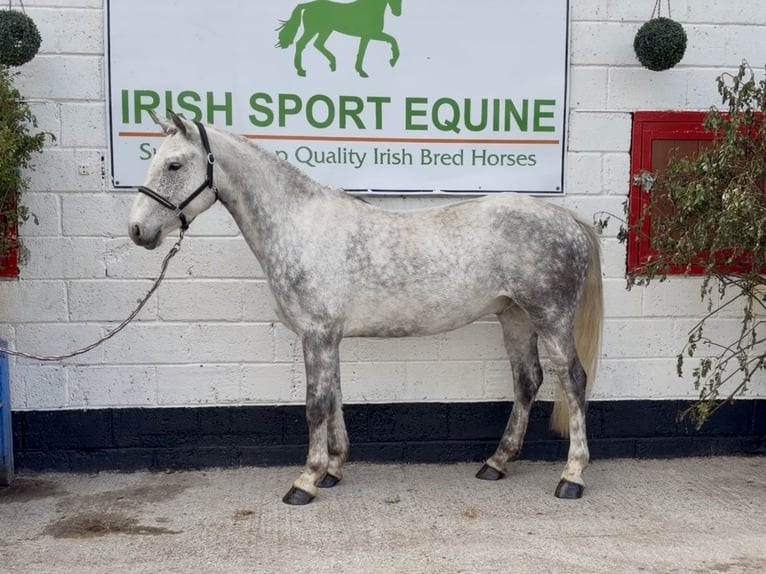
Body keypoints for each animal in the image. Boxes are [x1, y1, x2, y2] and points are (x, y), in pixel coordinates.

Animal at [129, 112, 603, 505]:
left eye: (174, 165)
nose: (137, 230)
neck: (299, 225)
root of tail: (567, 219)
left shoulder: (317, 333)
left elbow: (315, 404)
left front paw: (305, 481)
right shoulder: (327, 336)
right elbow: (335, 397)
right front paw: (334, 469)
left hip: (551, 318)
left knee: (573, 380)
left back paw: (571, 477)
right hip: (515, 317)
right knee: (528, 380)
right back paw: (496, 463)